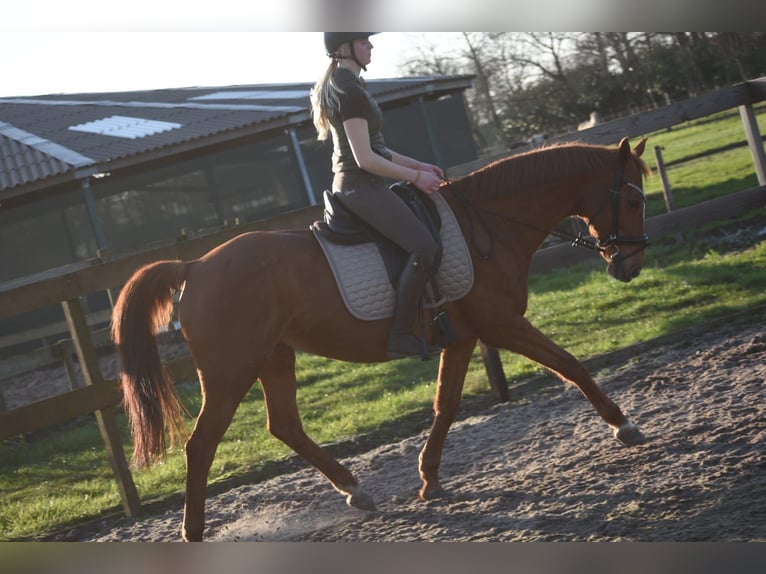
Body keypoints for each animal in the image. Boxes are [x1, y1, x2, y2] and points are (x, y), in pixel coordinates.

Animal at [111, 136, 651, 541]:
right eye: (632, 200)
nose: (630, 266)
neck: (489, 224)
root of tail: (194, 265)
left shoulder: (463, 338)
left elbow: (446, 405)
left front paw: (429, 479)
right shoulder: (501, 325)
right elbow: (570, 364)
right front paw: (624, 426)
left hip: (274, 357)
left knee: (283, 425)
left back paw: (355, 491)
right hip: (230, 372)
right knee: (201, 446)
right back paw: (194, 533)